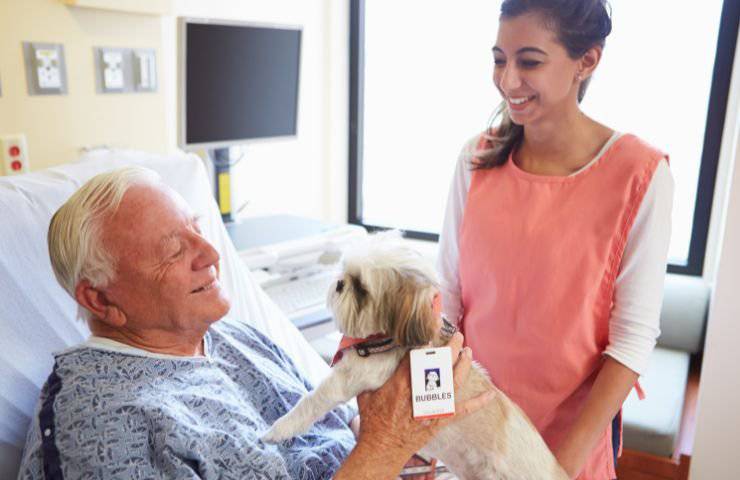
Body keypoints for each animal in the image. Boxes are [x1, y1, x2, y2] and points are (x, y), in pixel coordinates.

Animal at [264, 238, 568, 478]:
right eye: (345, 272)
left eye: (361, 288)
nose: (339, 283)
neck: (387, 341)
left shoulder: (349, 378)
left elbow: (310, 402)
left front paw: (278, 430)